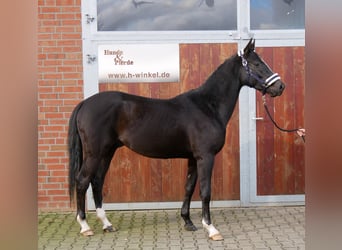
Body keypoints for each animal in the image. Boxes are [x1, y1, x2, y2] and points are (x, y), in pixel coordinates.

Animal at [68, 39, 284, 240]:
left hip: (107, 152)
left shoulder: (193, 158)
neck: (208, 106)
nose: (280, 86)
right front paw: (211, 228)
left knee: (97, 181)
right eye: (257, 64)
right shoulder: (205, 157)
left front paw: (188, 222)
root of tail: (85, 103)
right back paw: (85, 226)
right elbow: (205, 191)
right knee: (82, 181)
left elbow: (189, 187)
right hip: (95, 153)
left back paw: (107, 224)